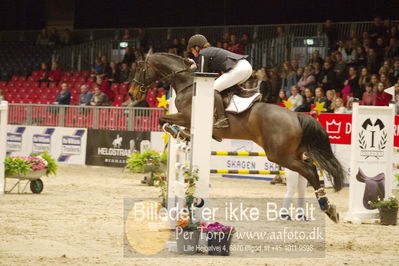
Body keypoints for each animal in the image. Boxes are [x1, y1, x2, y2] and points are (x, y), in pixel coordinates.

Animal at [130, 51, 346, 222]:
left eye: (140, 68)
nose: (133, 94)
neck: (188, 84)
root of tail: (296, 116)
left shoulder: (186, 116)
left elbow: (163, 120)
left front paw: (177, 132)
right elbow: (166, 122)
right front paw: (182, 134)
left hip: (279, 155)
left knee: (309, 170)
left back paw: (327, 207)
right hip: (293, 152)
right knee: (308, 170)